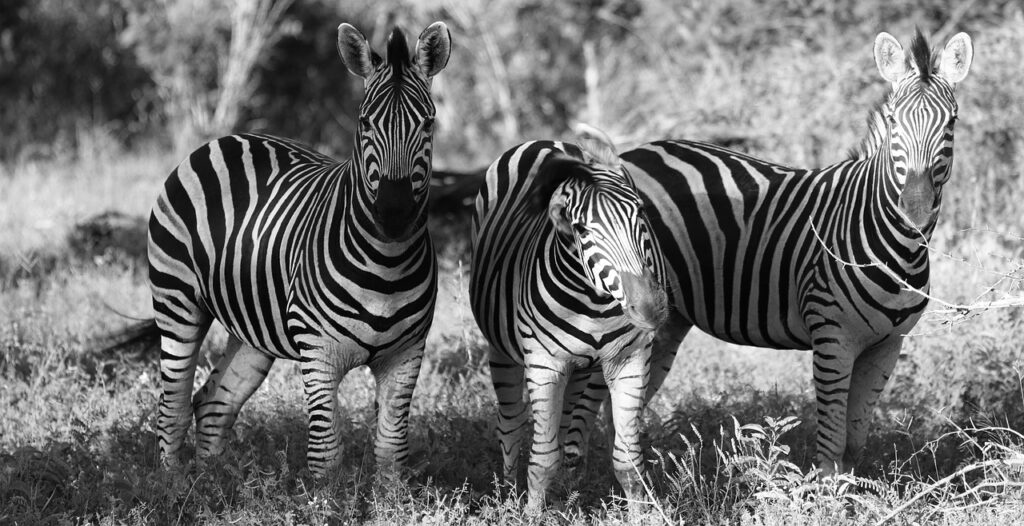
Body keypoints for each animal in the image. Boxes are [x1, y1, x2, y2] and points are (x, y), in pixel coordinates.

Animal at [147, 22, 451, 476]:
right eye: (364, 123)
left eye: (428, 124)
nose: (394, 214)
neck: (387, 265)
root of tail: (223, 140)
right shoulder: (317, 349)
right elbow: (326, 454)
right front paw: (327, 495)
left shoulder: (407, 354)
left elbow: (391, 452)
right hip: (177, 301)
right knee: (173, 407)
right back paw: (174, 485)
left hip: (251, 328)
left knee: (213, 401)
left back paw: (214, 483)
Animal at [470, 139, 668, 510]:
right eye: (581, 230)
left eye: (642, 214)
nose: (650, 308)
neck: (593, 304)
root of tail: (542, 141)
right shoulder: (544, 366)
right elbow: (542, 459)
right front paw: (531, 513)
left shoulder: (629, 360)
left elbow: (628, 461)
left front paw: (641, 514)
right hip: (501, 351)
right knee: (510, 424)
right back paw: (507, 495)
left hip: (584, 369)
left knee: (568, 426)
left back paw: (568, 490)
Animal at [569, 30, 973, 475]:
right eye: (894, 122)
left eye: (952, 122)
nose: (915, 209)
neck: (894, 250)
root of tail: (632, 153)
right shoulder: (832, 338)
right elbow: (832, 446)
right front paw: (823, 493)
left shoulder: (887, 345)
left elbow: (855, 443)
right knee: (586, 391)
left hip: (668, 317)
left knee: (619, 403)